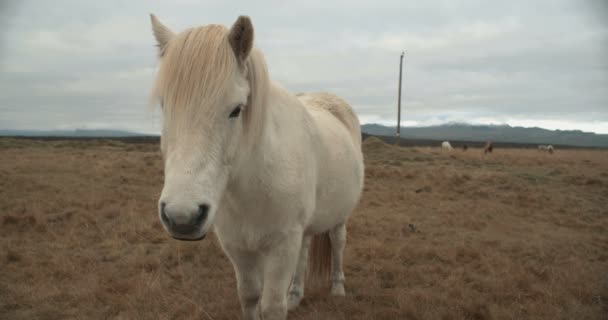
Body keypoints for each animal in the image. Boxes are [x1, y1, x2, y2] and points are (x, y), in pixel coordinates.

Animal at [149, 13, 364, 318]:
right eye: (165, 106)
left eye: (236, 109)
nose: (182, 217)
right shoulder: (237, 247)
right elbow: (249, 296)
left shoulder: (281, 246)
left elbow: (272, 305)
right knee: (306, 249)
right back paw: (296, 294)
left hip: (339, 217)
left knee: (338, 242)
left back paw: (337, 288)